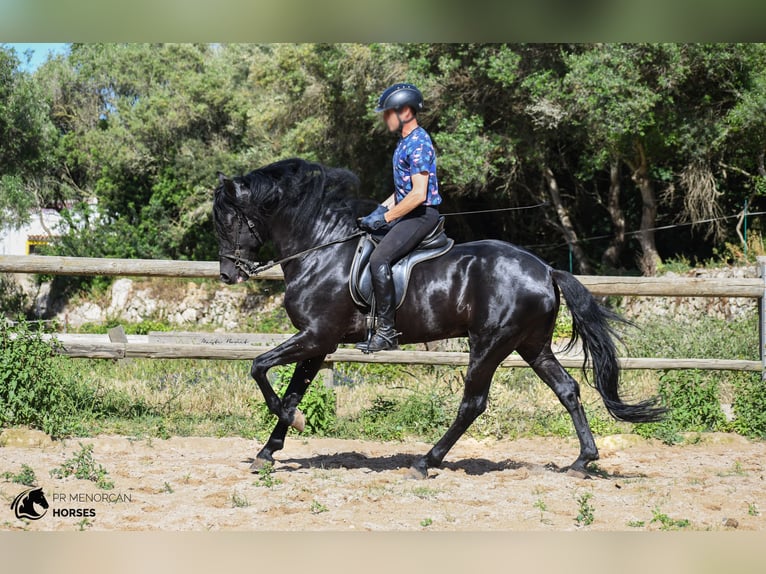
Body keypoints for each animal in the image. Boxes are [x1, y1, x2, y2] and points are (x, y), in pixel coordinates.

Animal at [213, 158, 664, 476]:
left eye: (229, 218)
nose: (228, 274)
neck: (321, 251)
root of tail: (546, 270)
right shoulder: (319, 343)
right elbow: (291, 390)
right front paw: (269, 449)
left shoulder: (316, 336)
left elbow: (259, 368)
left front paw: (295, 424)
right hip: (531, 345)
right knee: (567, 389)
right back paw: (582, 461)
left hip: (490, 344)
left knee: (473, 403)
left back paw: (426, 461)